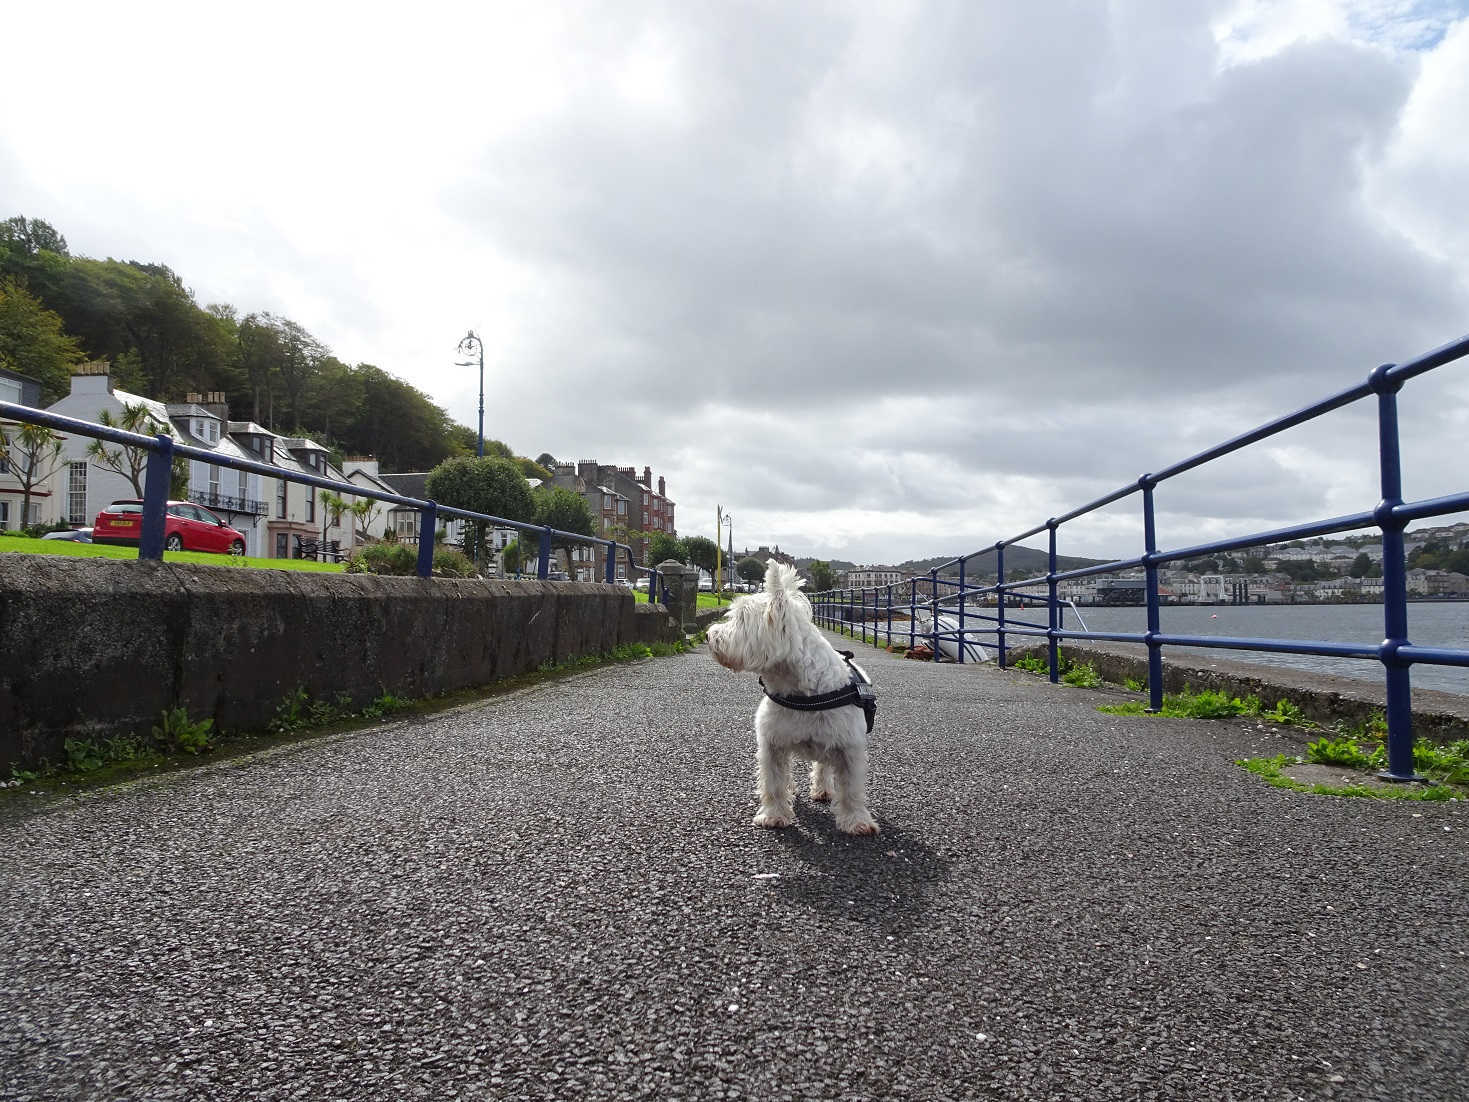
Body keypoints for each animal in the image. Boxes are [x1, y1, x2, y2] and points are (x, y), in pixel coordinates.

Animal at [705, 561, 875, 834]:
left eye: (741, 617)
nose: (708, 636)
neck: (800, 692)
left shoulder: (849, 746)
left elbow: (851, 789)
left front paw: (857, 821)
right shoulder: (772, 743)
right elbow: (773, 782)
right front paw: (774, 815)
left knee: (823, 766)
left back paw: (823, 790)